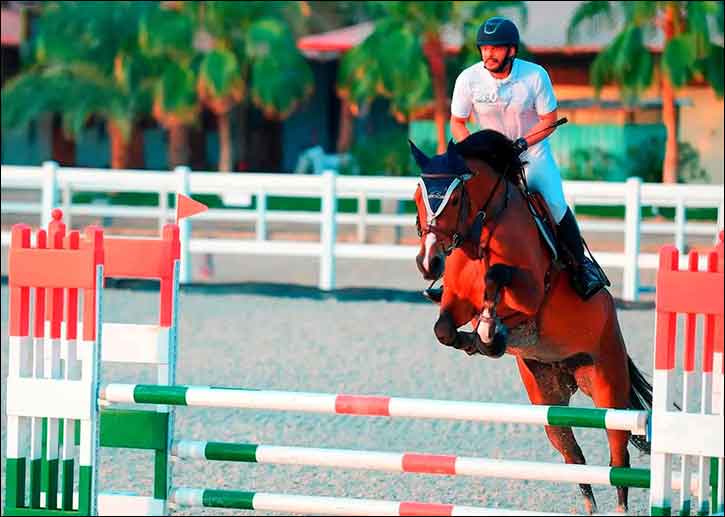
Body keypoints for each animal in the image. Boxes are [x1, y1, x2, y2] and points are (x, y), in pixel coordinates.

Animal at [410, 131, 652, 514]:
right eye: (417, 197)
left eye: (455, 198)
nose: (429, 262)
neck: (482, 232)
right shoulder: (455, 303)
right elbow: (444, 329)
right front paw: (480, 338)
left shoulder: (531, 293)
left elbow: (497, 277)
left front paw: (489, 333)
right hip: (547, 401)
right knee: (574, 457)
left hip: (608, 388)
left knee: (618, 459)